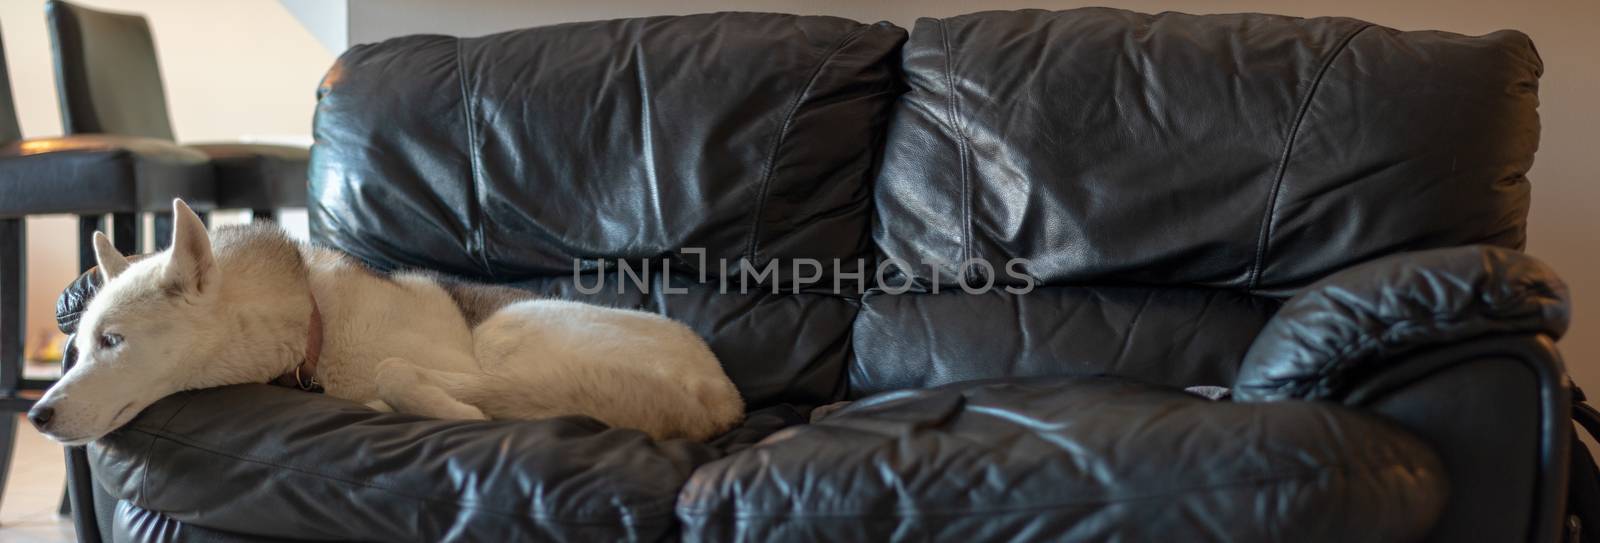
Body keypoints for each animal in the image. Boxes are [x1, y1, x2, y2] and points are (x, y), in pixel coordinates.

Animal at [31, 200, 742, 445]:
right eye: (79, 346)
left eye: (113, 341)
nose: (36, 416)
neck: (313, 325)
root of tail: (722, 399)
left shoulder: (449, 364)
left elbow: (403, 374)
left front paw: (460, 414)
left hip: (510, 332)